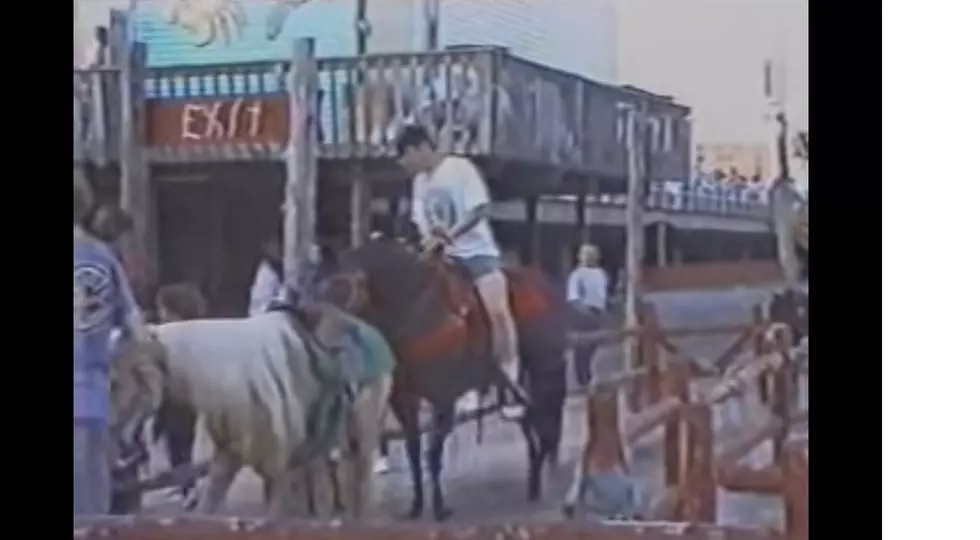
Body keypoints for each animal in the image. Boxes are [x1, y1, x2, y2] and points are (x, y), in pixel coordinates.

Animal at [110, 310, 390, 520]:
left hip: (362, 436)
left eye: (116, 382)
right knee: (332, 489)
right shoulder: (230, 454)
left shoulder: (279, 466)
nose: (121, 447)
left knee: (360, 487)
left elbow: (275, 517)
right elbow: (206, 506)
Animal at [322, 239, 568, 520]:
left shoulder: (444, 398)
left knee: (545, 416)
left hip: (544, 367)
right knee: (531, 416)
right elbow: (414, 450)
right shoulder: (404, 400)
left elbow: (433, 452)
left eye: (345, 297)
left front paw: (439, 506)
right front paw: (417, 504)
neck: (415, 314)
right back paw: (534, 476)